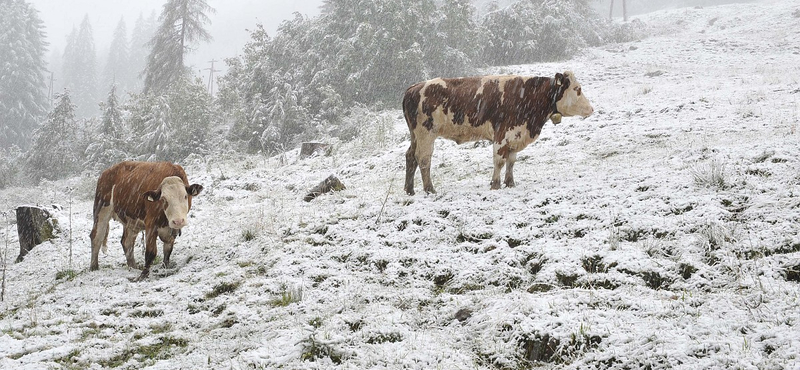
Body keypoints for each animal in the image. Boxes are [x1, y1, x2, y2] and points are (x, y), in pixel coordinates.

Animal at [400, 70, 592, 195]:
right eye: (577, 89)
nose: (591, 109)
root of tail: (414, 87)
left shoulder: (515, 136)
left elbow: (511, 161)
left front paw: (510, 183)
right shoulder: (502, 135)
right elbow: (499, 161)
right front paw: (495, 184)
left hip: (415, 135)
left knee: (410, 156)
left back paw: (409, 190)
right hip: (426, 134)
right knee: (423, 159)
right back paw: (429, 189)